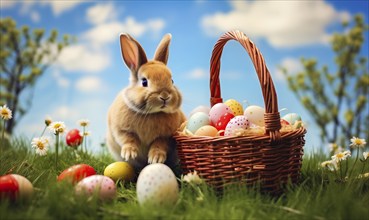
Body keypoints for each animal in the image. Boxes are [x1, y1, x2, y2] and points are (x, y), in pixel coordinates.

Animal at [107, 32, 187, 174]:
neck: (151, 113)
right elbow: (128, 139)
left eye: (172, 80)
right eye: (144, 82)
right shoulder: (121, 130)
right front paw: (129, 153)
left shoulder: (166, 136)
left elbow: (159, 145)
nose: (165, 96)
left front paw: (156, 159)